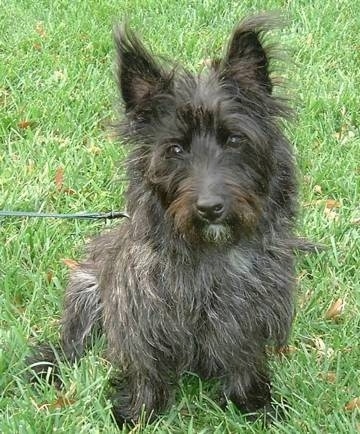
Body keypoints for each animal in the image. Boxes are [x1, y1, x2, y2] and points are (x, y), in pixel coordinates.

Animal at [29, 14, 302, 428]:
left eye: (234, 139)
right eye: (175, 149)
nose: (209, 208)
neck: (210, 254)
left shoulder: (248, 318)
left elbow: (243, 363)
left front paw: (254, 406)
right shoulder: (138, 319)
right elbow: (145, 370)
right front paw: (136, 415)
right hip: (86, 288)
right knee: (72, 343)